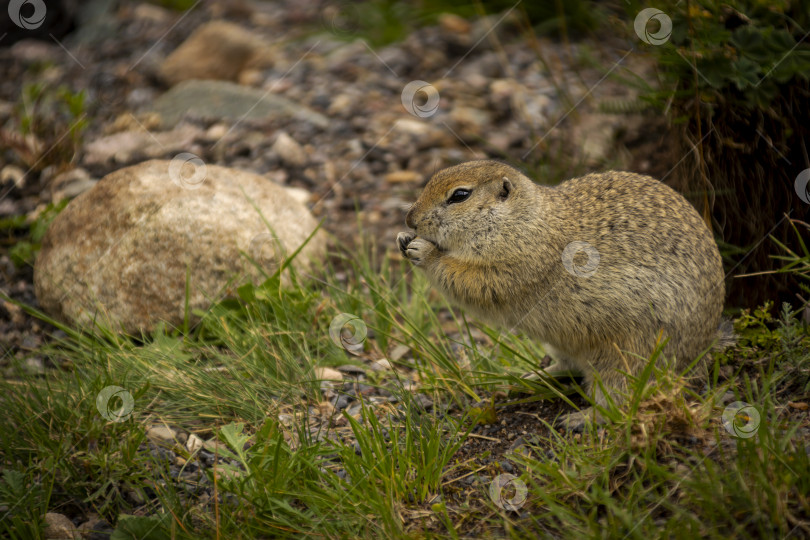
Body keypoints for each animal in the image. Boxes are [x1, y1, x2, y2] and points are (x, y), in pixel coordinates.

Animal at [394, 158, 728, 428]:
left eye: (459, 195)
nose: (410, 219)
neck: (524, 220)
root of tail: (698, 358)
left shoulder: (513, 267)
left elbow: (471, 282)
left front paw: (422, 250)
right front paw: (402, 238)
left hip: (627, 357)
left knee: (620, 400)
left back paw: (580, 418)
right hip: (561, 345)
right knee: (568, 367)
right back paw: (527, 378)